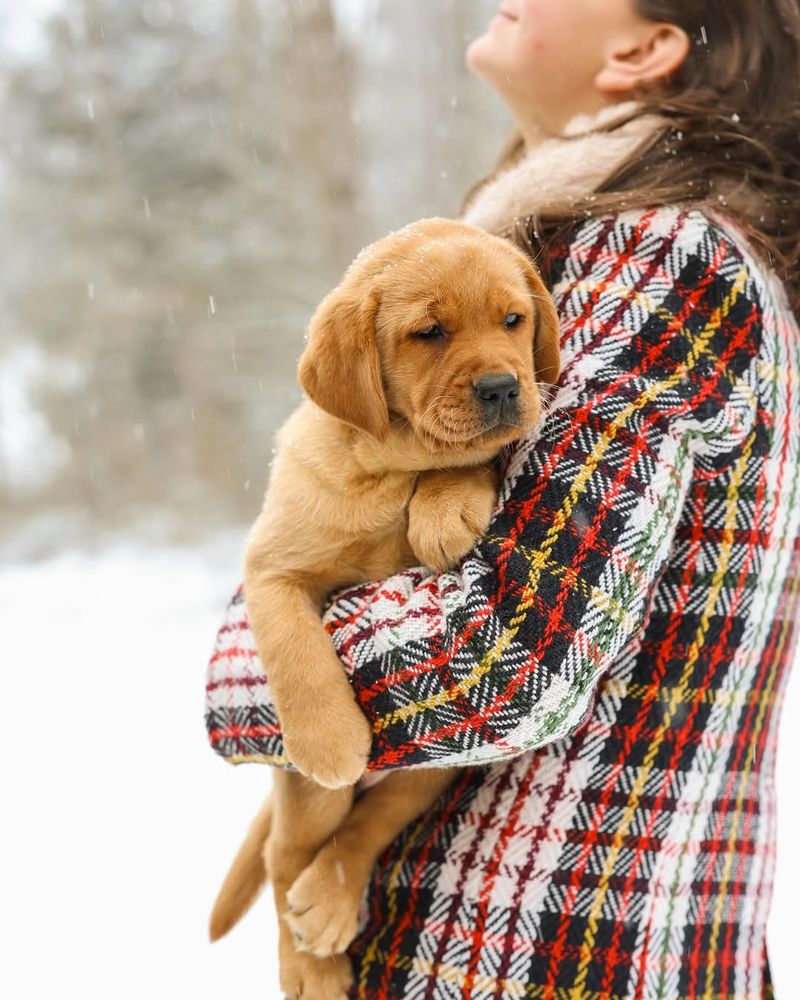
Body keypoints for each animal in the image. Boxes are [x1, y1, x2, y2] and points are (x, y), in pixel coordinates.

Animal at [209, 215, 560, 996]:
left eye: (514, 321)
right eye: (428, 332)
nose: (502, 387)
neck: (389, 470)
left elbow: (464, 459)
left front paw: (444, 507)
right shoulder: (270, 571)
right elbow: (294, 651)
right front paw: (327, 736)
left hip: (438, 765)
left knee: (364, 829)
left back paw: (330, 900)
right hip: (314, 796)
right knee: (286, 857)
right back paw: (309, 964)